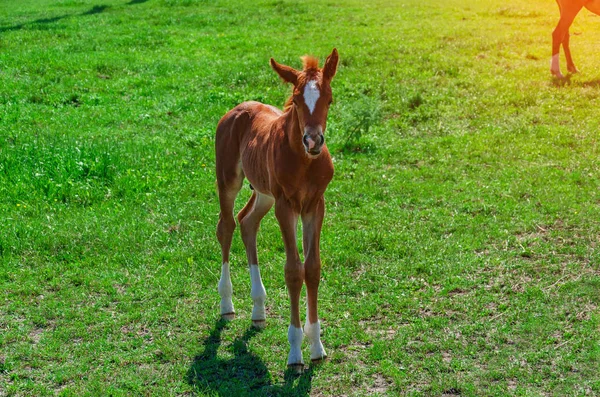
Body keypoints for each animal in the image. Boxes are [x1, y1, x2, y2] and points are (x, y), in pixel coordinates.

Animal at [214, 49, 338, 372]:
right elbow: (294, 271)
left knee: (247, 222)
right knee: (227, 226)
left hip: (263, 193)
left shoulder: (315, 205)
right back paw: (227, 304)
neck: (305, 162)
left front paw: (316, 347)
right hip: (229, 181)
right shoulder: (286, 206)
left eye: (329, 98)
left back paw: (258, 309)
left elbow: (312, 268)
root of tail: (237, 109)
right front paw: (295, 352)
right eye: (296, 99)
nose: (313, 140)